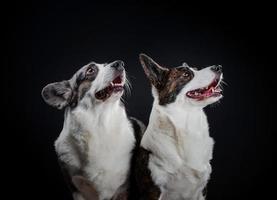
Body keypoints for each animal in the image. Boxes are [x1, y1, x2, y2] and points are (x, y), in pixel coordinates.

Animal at [135, 54, 223, 199]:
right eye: (186, 75)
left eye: (196, 69)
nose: (219, 67)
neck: (186, 125)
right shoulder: (154, 191)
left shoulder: (202, 190)